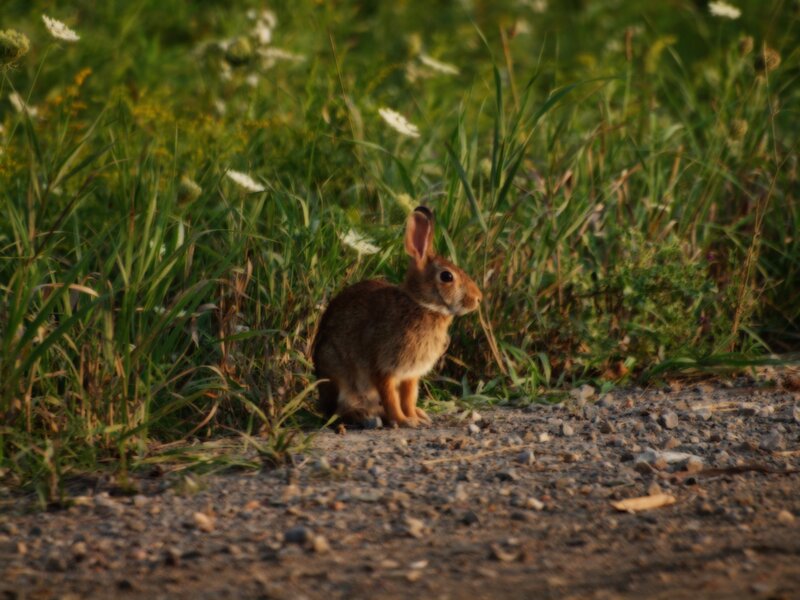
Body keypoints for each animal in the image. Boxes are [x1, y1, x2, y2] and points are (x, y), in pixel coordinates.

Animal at [312, 206, 482, 428]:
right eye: (447, 276)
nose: (478, 298)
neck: (422, 305)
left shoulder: (411, 374)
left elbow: (408, 398)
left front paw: (413, 418)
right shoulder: (383, 368)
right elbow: (391, 398)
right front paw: (404, 421)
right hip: (339, 376)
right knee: (339, 410)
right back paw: (365, 416)